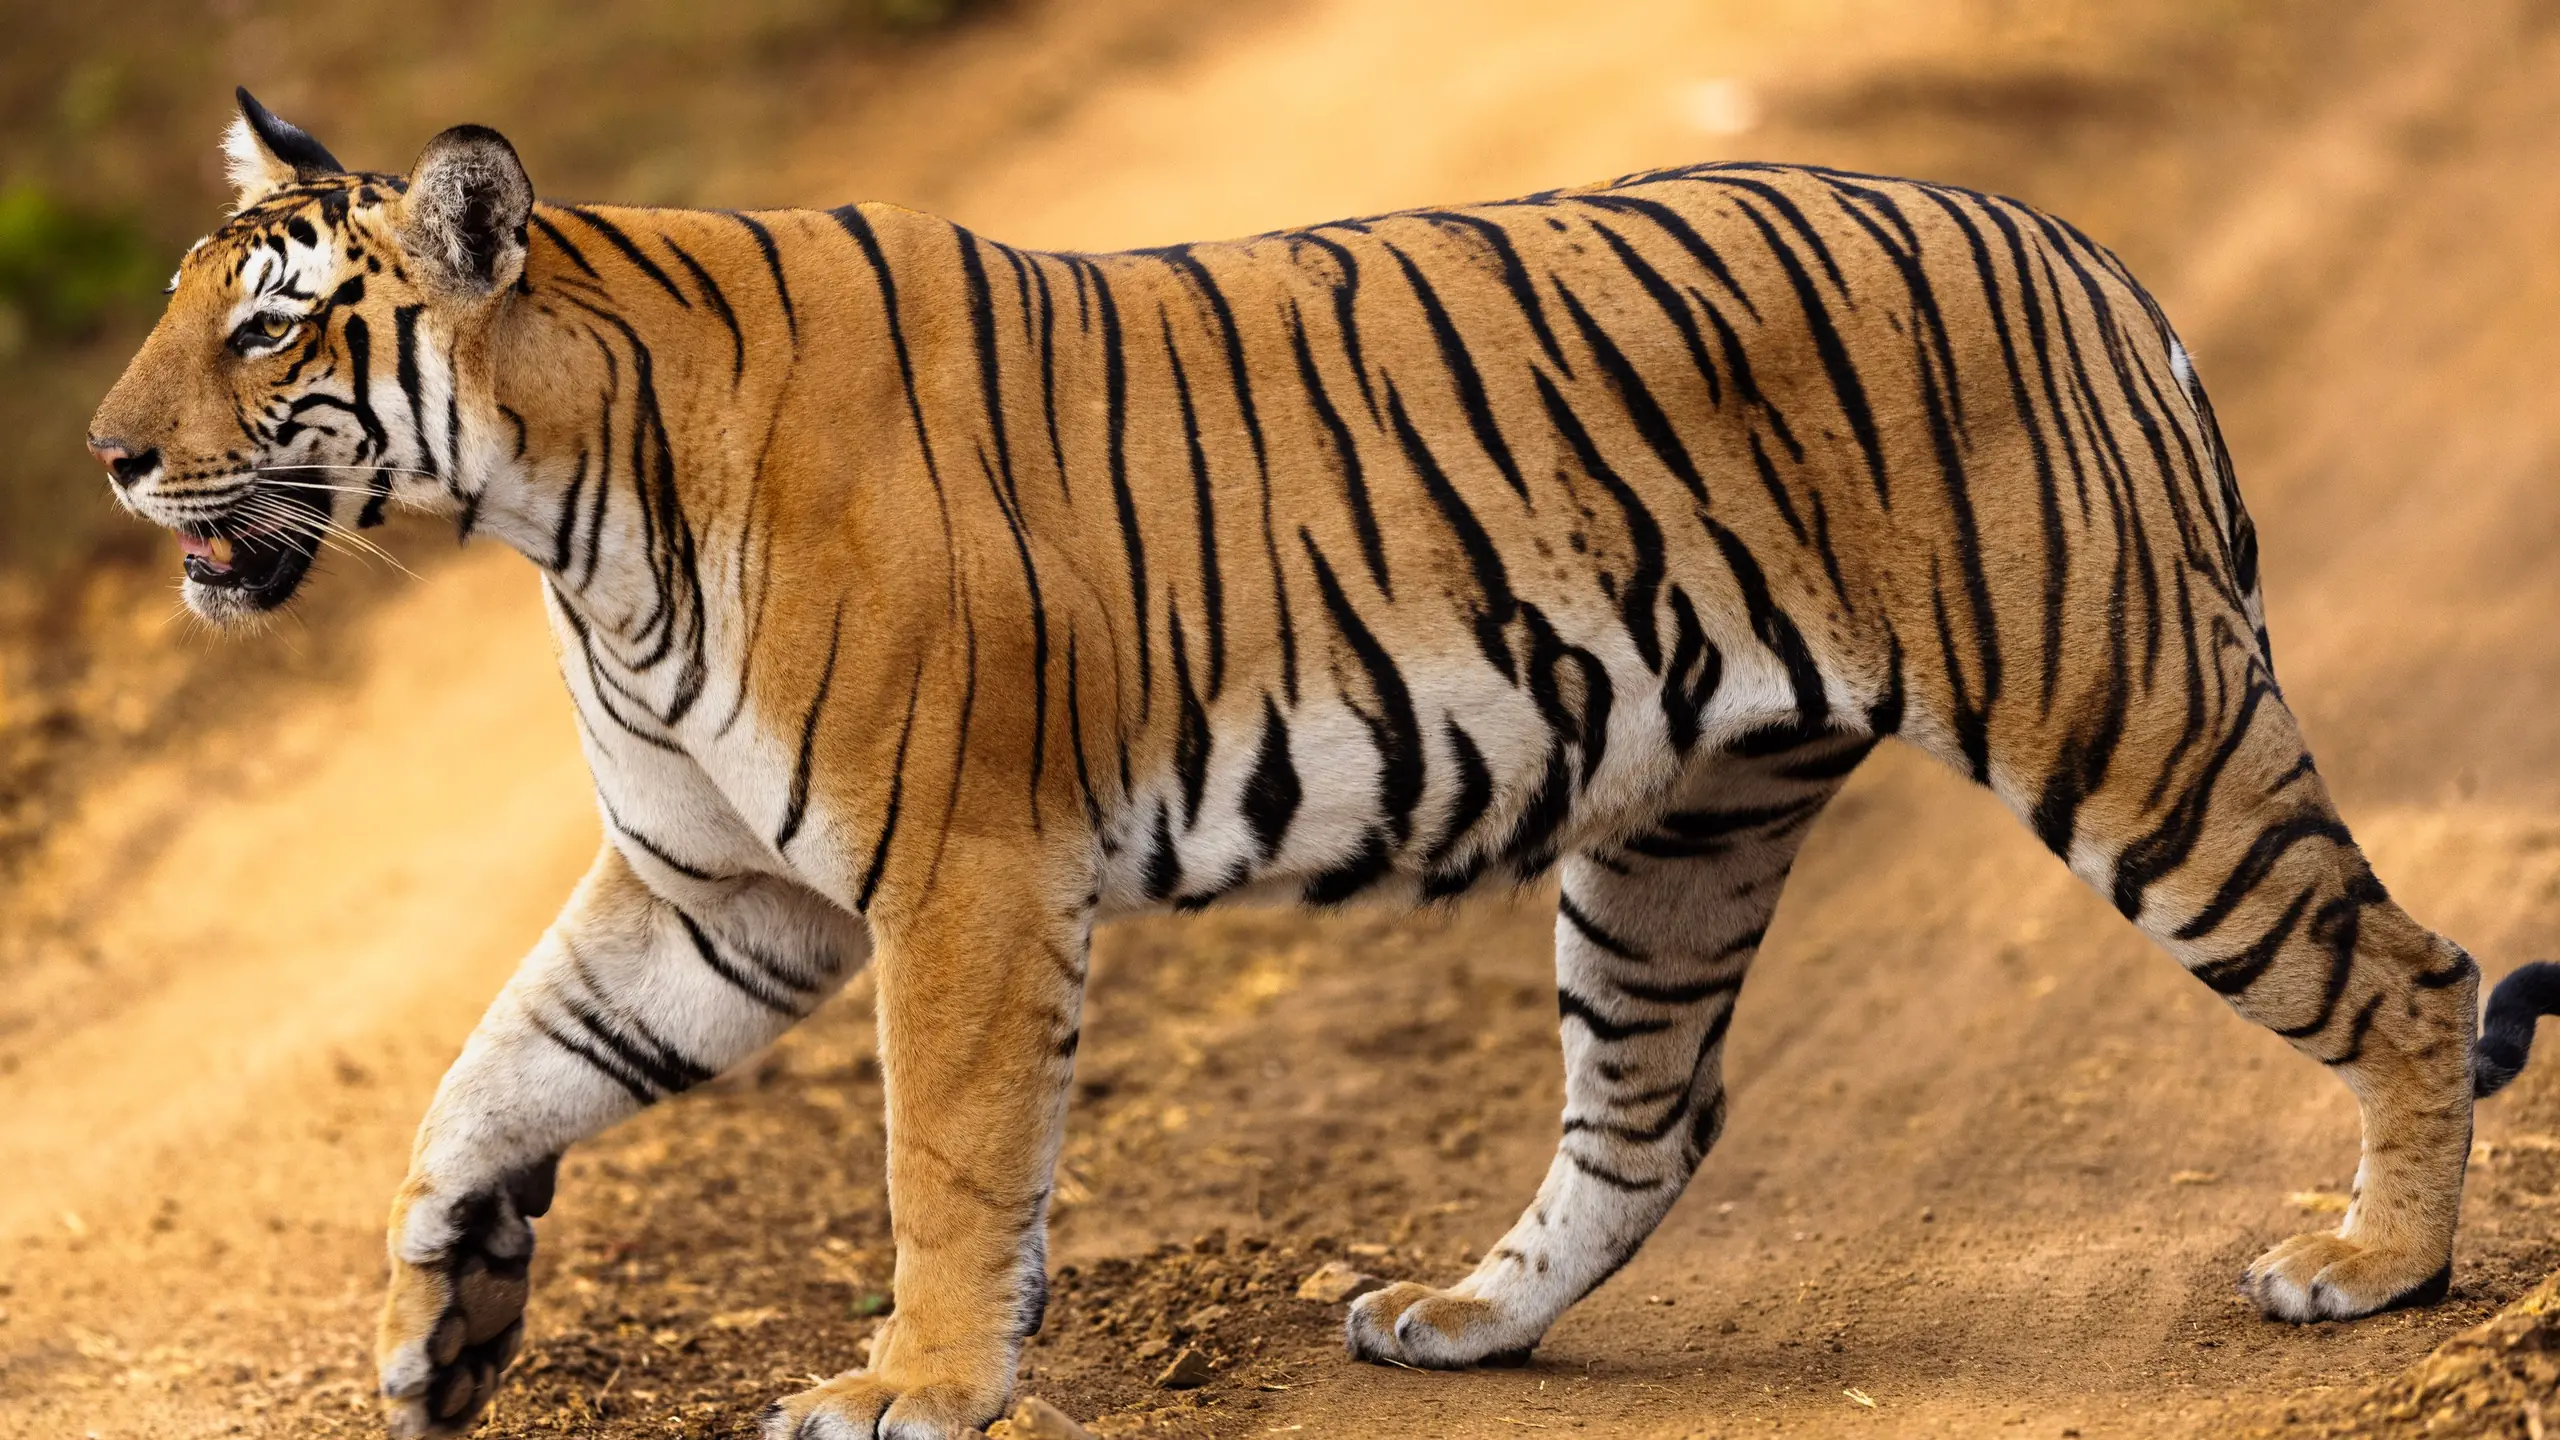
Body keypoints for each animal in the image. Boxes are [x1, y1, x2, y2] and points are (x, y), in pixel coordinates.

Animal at [86, 88, 2560, 1439]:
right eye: (182, 312)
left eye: (271, 331)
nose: (107, 459)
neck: (559, 508)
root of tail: (2075, 252)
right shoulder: (721, 898)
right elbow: (487, 1079)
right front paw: (438, 1337)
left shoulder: (950, 875)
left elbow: (945, 1164)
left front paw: (912, 1390)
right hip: (1678, 835)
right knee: (1647, 1121)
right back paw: (1461, 1320)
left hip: (2126, 724)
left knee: (2407, 970)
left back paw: (2373, 1271)